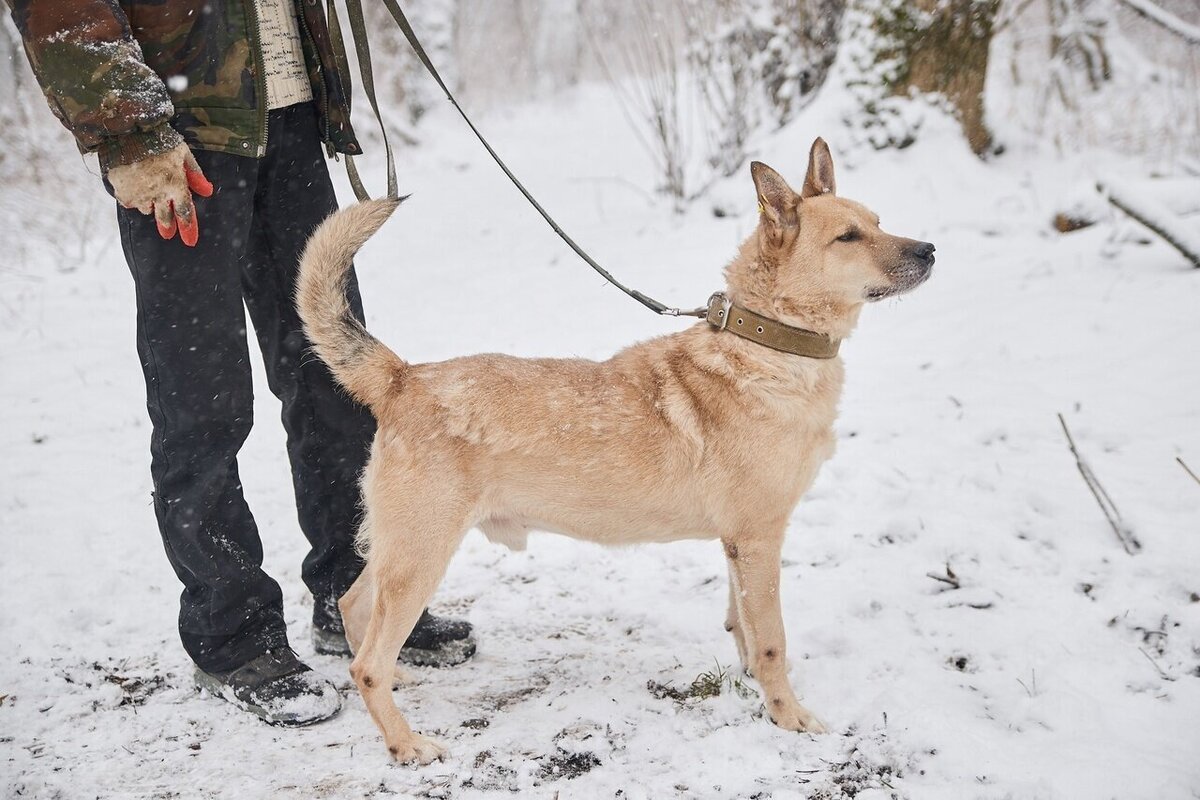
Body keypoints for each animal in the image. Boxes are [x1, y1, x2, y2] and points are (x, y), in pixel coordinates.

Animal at [295, 137, 931, 762]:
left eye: (878, 221)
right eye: (848, 237)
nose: (928, 250)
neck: (767, 345)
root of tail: (403, 376)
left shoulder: (740, 545)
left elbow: (744, 627)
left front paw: (753, 683)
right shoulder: (758, 538)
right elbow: (772, 640)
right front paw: (788, 717)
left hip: (399, 552)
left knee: (352, 607)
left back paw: (398, 686)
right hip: (422, 555)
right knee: (366, 662)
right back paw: (404, 742)